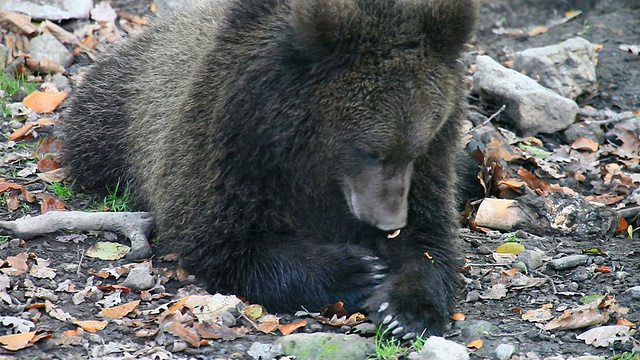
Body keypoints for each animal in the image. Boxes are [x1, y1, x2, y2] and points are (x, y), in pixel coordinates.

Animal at [63, 0, 476, 338]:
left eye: (416, 148)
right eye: (370, 151)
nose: (389, 221)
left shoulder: (432, 163)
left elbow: (430, 240)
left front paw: (404, 311)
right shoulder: (231, 146)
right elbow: (221, 239)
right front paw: (355, 269)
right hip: (114, 114)